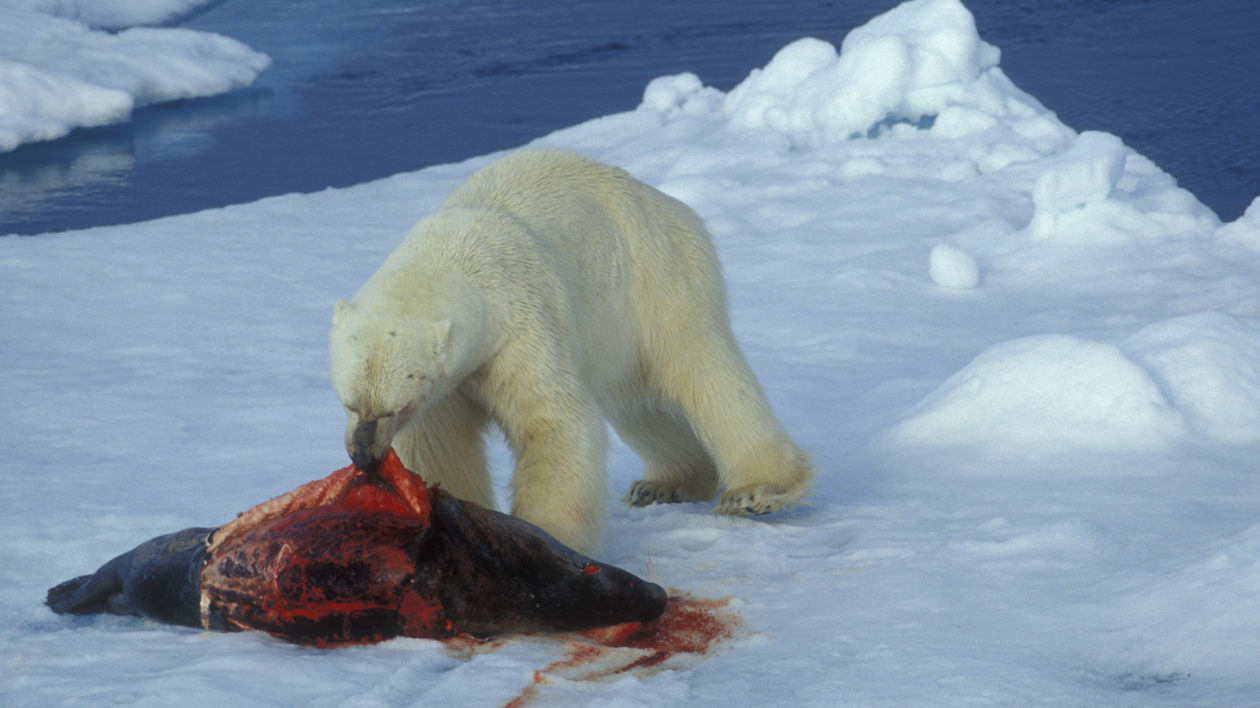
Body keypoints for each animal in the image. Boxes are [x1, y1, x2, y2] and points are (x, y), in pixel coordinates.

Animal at [330, 151, 811, 554]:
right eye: (349, 403)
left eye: (392, 408)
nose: (363, 455)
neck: (450, 256)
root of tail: (664, 200)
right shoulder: (449, 382)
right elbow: (439, 445)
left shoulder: (516, 326)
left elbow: (554, 422)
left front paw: (546, 543)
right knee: (637, 401)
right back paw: (666, 483)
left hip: (655, 276)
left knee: (704, 371)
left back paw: (757, 491)